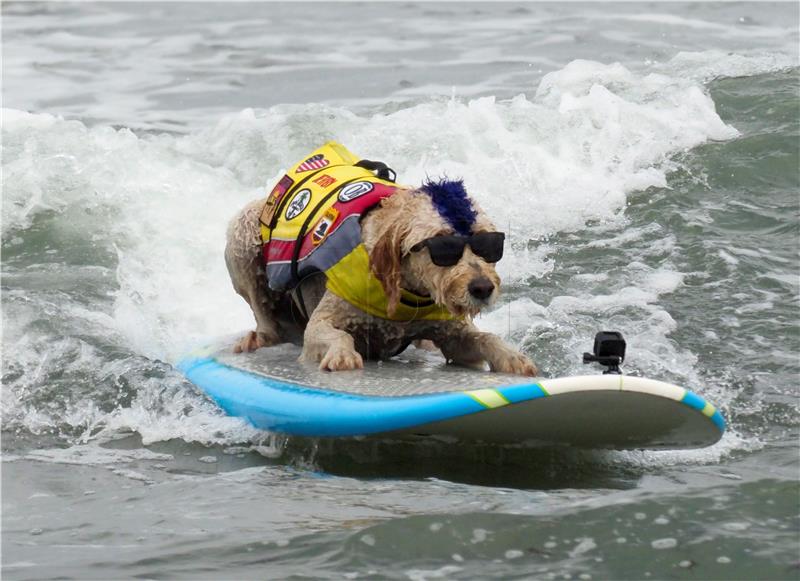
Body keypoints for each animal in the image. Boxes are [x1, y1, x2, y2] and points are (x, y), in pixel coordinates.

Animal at [225, 144, 536, 376]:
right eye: (442, 244)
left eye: (487, 244)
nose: (483, 288)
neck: (407, 292)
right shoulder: (323, 321)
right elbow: (333, 334)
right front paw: (342, 355)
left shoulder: (453, 333)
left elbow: (483, 338)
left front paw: (513, 357)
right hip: (243, 231)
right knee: (264, 317)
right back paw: (259, 338)